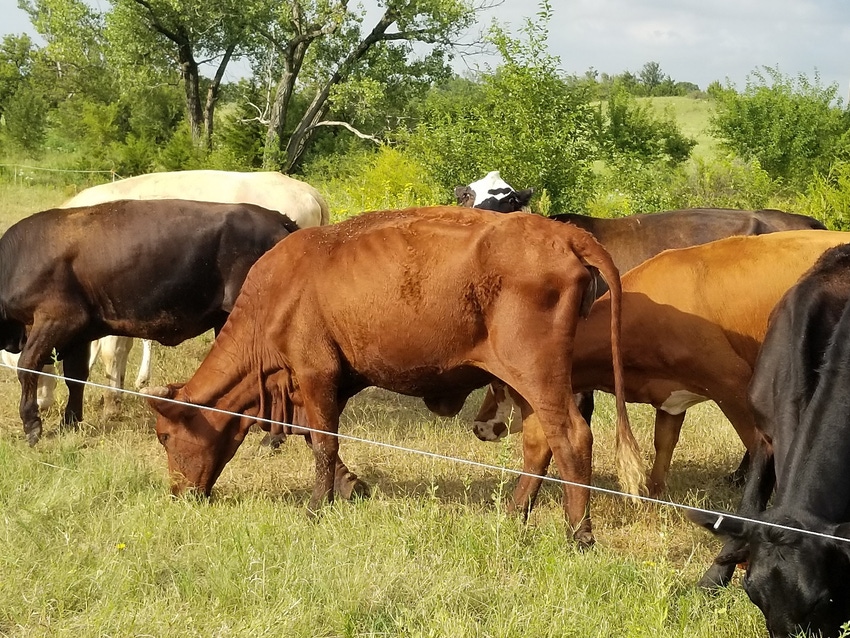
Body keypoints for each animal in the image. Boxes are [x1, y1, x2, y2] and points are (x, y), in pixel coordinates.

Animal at [0, 200, 298, 444]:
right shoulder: (78, 335)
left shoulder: (56, 320)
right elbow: (76, 377)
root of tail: (274, 217)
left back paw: (271, 438)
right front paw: (69, 423)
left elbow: (28, 366)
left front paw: (32, 425)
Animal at [142, 208, 640, 548]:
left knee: (571, 436)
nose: (178, 493)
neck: (276, 293)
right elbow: (316, 438)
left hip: (537, 373)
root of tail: (565, 234)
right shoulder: (322, 384)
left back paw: (578, 534)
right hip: (520, 382)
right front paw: (347, 489)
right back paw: (513, 514)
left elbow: (323, 444)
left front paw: (317, 508)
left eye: (165, 436)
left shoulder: (315, 373)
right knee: (539, 440)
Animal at [470, 228, 848, 512]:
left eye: (497, 386)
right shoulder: (671, 397)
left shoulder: (733, 383)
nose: (478, 425)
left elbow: (756, 448)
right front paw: (654, 498)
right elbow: (663, 444)